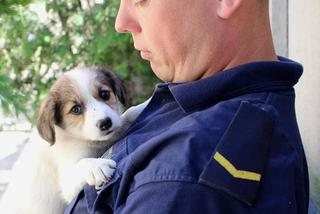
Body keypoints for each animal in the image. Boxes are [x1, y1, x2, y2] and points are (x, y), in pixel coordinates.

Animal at [0, 67, 132, 213]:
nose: (105, 123)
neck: (81, 138)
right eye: (75, 109)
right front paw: (96, 166)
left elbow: (129, 114)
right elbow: (82, 164)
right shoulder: (68, 186)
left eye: (104, 94)